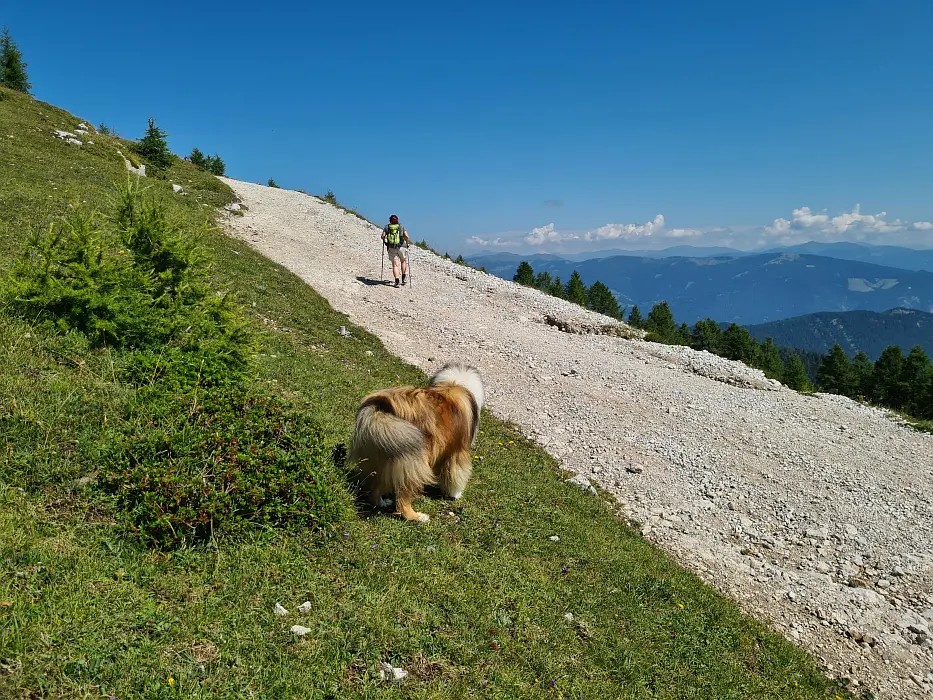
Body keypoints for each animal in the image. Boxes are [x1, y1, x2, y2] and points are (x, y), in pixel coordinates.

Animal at [346, 364, 484, 524]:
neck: (454, 384)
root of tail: (383, 407)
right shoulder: (457, 452)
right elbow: (456, 473)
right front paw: (456, 493)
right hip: (414, 461)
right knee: (402, 500)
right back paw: (418, 517)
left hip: (382, 455)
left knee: (375, 487)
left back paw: (382, 502)